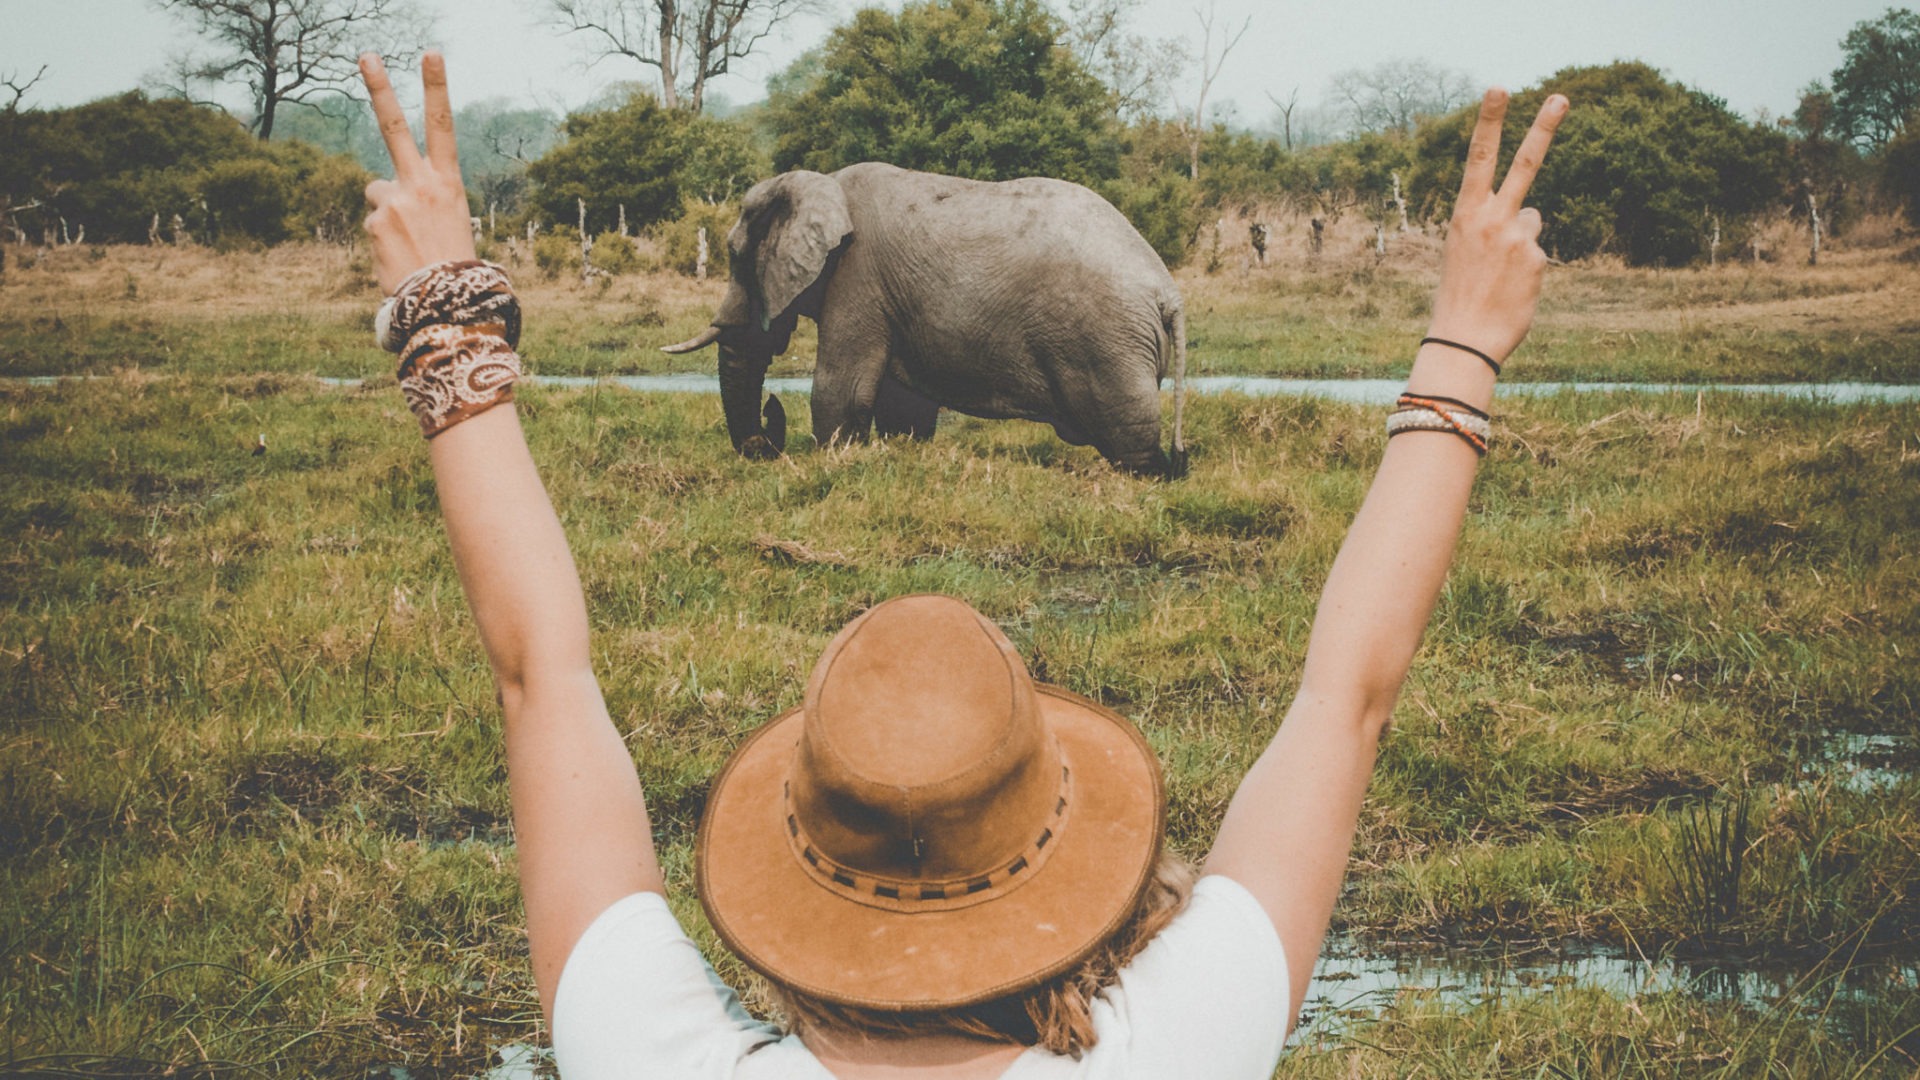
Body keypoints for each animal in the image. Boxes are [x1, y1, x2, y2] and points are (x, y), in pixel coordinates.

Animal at [660, 162, 1189, 476]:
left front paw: (832, 455)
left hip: (1108, 344)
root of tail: (1168, 294)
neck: (823, 183)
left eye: (736, 257)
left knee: (1130, 438)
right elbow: (903, 403)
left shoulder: (858, 278)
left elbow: (841, 388)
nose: (766, 442)